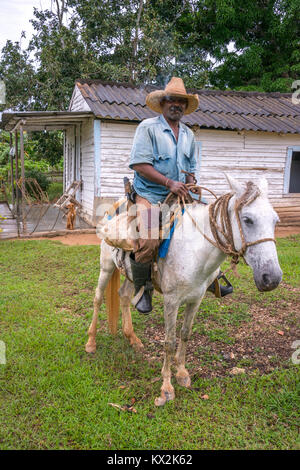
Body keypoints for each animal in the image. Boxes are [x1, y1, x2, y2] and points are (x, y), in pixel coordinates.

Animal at [85, 174, 282, 406]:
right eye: (248, 219)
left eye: (275, 220)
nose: (272, 278)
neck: (195, 251)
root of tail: (114, 206)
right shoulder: (172, 301)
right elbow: (169, 342)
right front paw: (166, 388)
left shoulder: (196, 299)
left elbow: (186, 334)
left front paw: (181, 373)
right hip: (106, 266)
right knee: (98, 298)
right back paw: (91, 342)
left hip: (130, 274)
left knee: (123, 296)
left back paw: (132, 338)